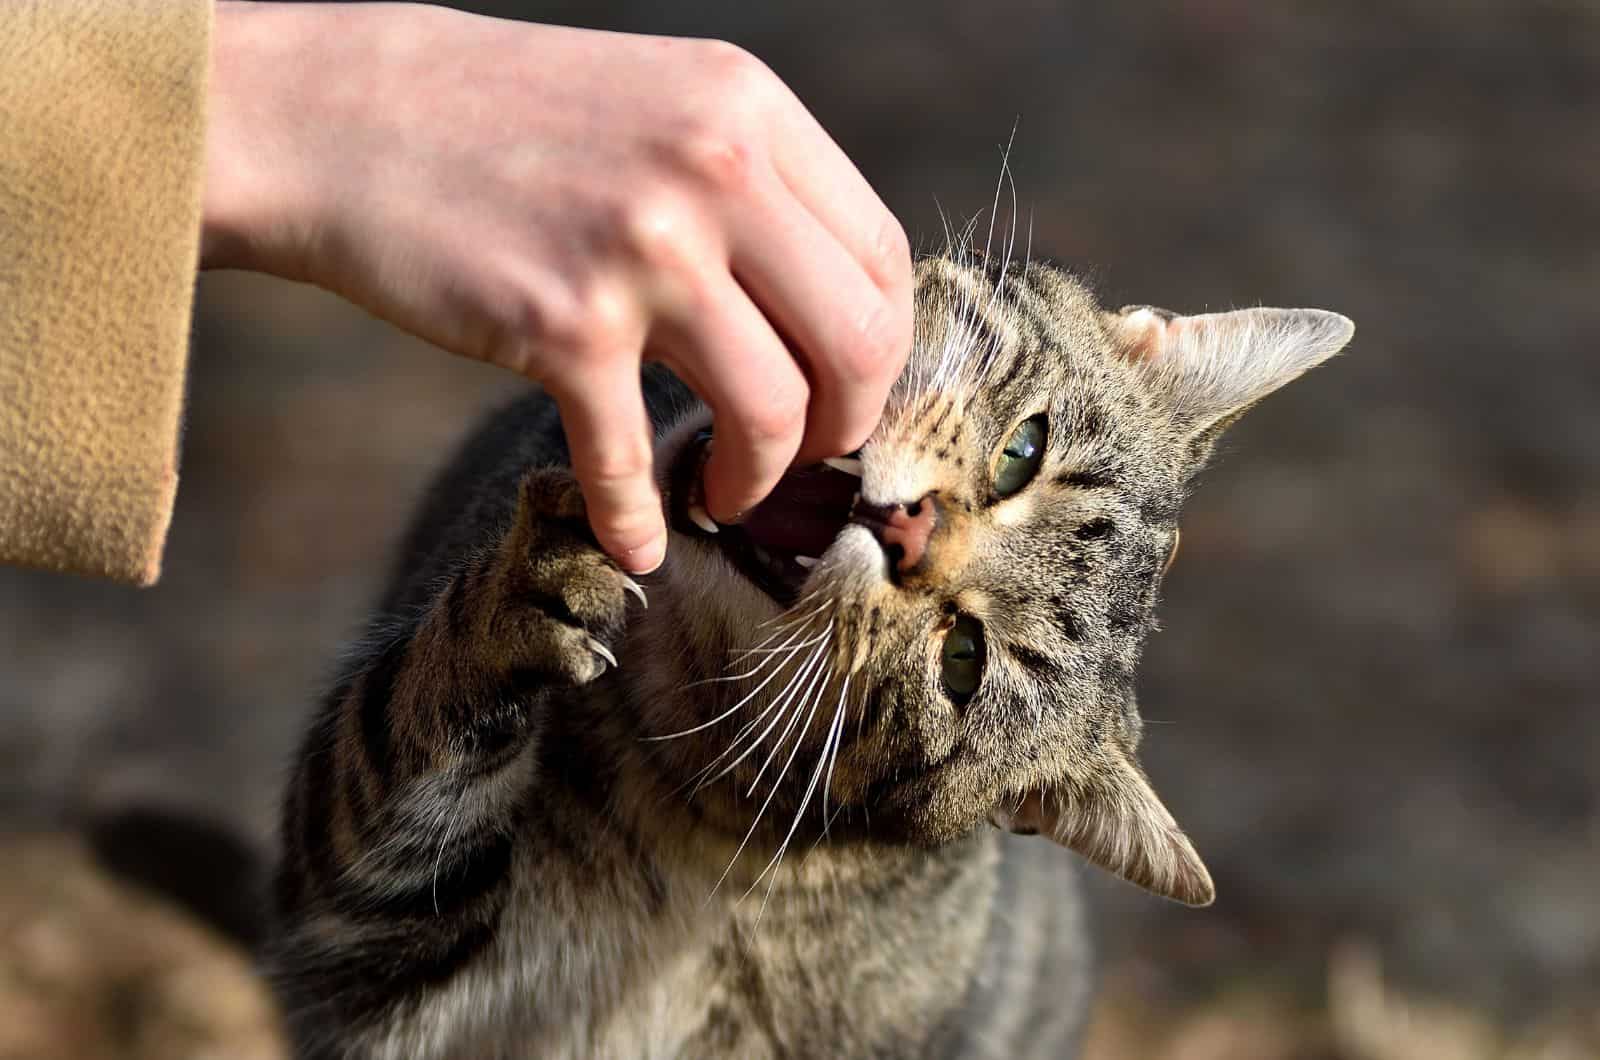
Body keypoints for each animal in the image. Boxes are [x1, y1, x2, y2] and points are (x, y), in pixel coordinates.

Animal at [265, 246, 1350, 1056]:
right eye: (1022, 451)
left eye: (963, 661)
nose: (910, 532)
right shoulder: (349, 928)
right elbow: (403, 730)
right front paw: (526, 598)